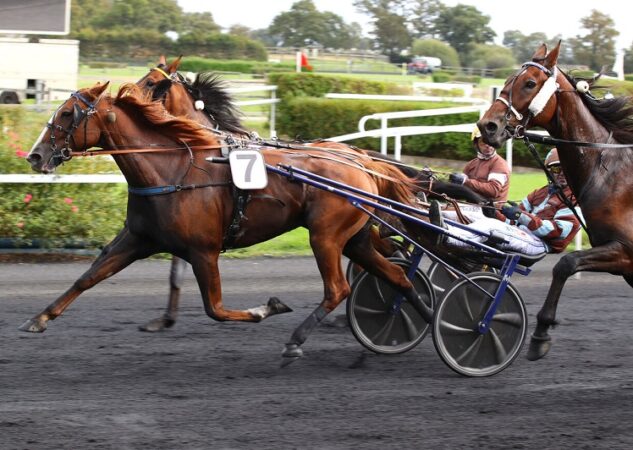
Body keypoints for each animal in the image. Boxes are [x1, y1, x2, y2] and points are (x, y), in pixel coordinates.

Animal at [22, 81, 432, 362]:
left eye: (66, 114)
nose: (35, 156)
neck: (172, 167)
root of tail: (362, 162)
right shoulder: (137, 238)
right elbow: (88, 277)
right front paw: (39, 318)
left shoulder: (203, 251)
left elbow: (215, 309)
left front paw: (268, 308)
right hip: (355, 238)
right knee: (397, 275)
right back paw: (427, 320)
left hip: (326, 236)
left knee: (339, 289)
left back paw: (296, 340)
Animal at [131, 55, 484, 330]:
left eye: (151, 82)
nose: (125, 96)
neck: (211, 147)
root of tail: (363, 157)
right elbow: (176, 270)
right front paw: (164, 319)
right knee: (391, 254)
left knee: (389, 255)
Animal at [476, 41, 632, 358]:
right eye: (508, 78)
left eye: (529, 83)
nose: (488, 126)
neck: (613, 171)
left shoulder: (625, 251)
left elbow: (565, 263)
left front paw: (540, 333)